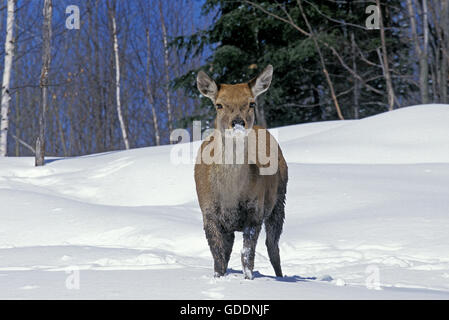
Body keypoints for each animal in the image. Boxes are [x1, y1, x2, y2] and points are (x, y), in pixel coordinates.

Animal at [195, 65, 288, 280]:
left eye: (251, 103)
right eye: (219, 105)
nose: (238, 123)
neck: (230, 194)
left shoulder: (255, 210)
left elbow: (247, 255)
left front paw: (248, 279)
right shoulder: (208, 212)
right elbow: (218, 256)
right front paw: (218, 278)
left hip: (279, 200)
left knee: (273, 247)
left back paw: (280, 276)